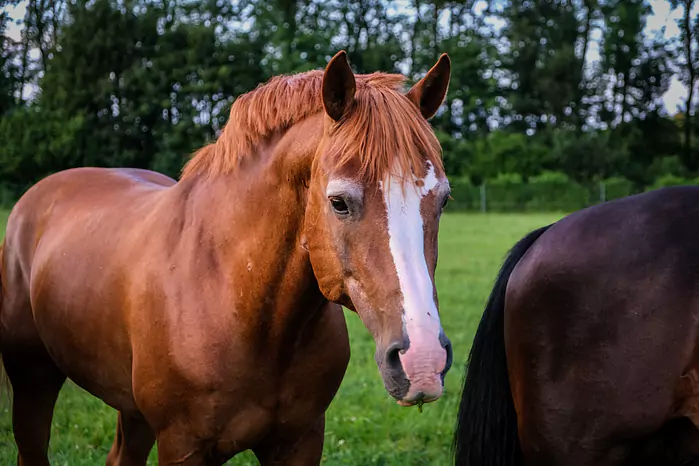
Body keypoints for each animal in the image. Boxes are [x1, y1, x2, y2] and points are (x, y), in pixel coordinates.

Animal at [0, 49, 454, 464]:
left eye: (443, 200)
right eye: (339, 202)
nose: (423, 361)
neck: (233, 295)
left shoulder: (300, 441)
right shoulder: (183, 446)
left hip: (130, 410)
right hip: (33, 379)